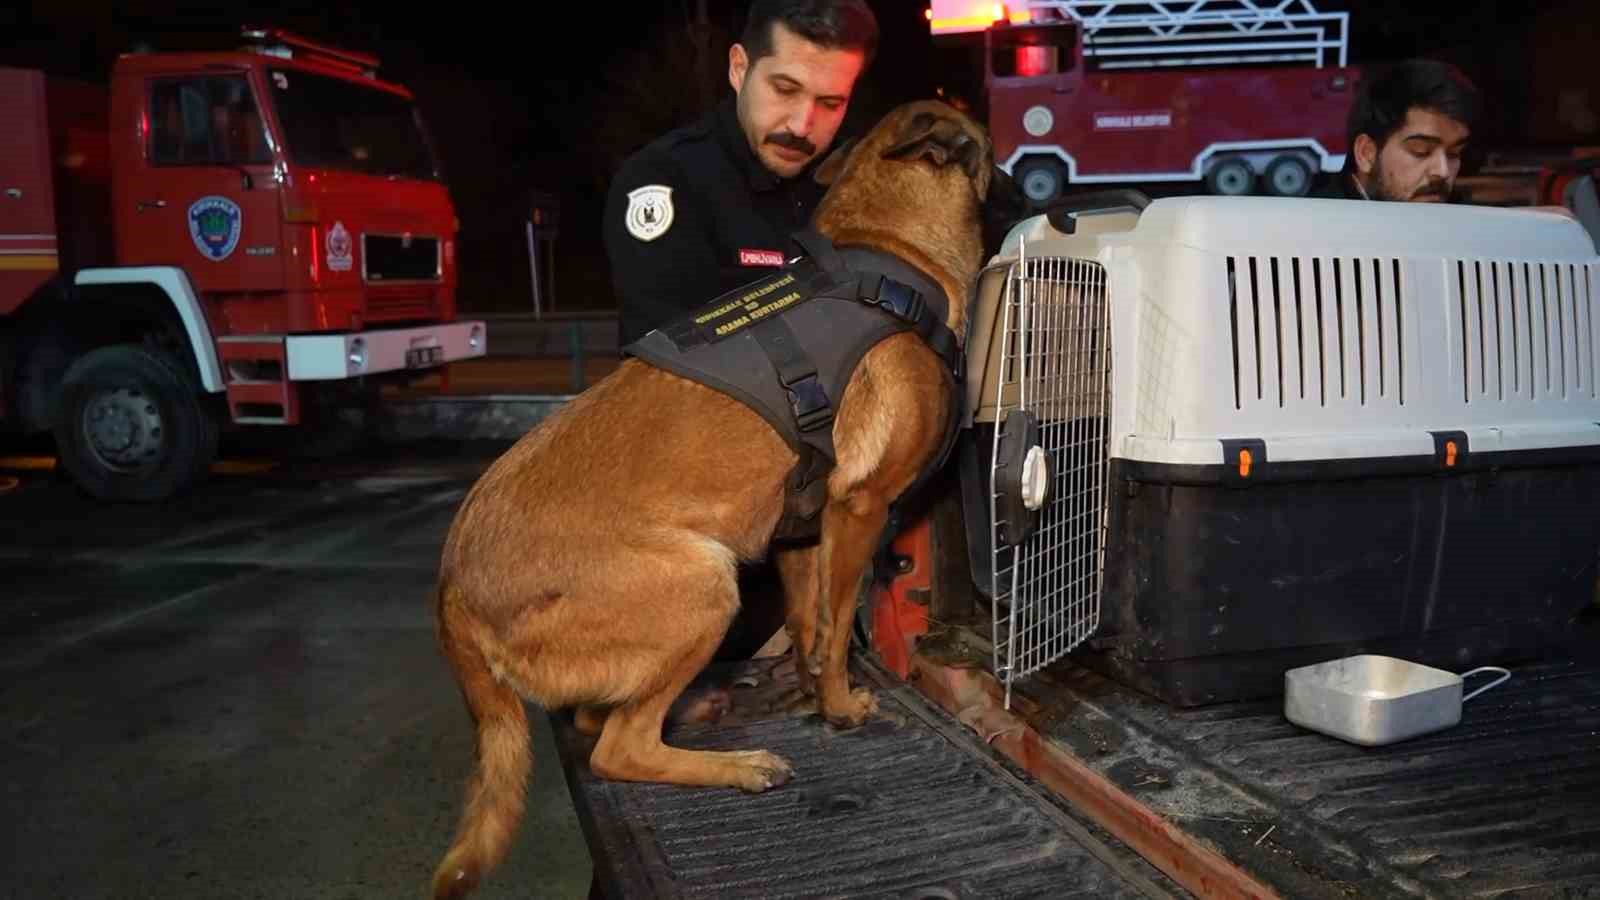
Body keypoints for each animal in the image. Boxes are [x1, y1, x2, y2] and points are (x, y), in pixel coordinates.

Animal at [432, 99, 992, 896]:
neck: (886, 247)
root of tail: (451, 588)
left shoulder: (802, 529)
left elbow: (810, 626)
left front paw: (809, 689)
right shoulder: (859, 508)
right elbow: (837, 625)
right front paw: (840, 707)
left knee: (597, 722)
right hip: (706, 586)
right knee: (615, 747)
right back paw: (737, 766)